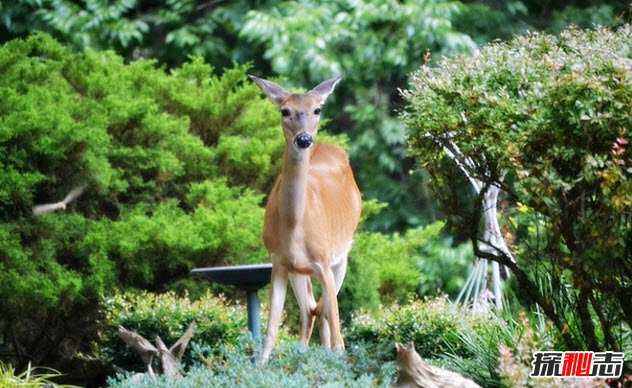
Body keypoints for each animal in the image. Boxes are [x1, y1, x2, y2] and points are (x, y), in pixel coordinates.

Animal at [249, 75, 362, 364]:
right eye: (284, 111)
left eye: (317, 110)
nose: (303, 139)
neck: (294, 226)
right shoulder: (278, 262)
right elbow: (270, 332)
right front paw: (259, 367)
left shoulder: (324, 261)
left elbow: (337, 329)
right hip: (299, 271)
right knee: (310, 310)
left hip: (342, 255)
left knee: (323, 313)